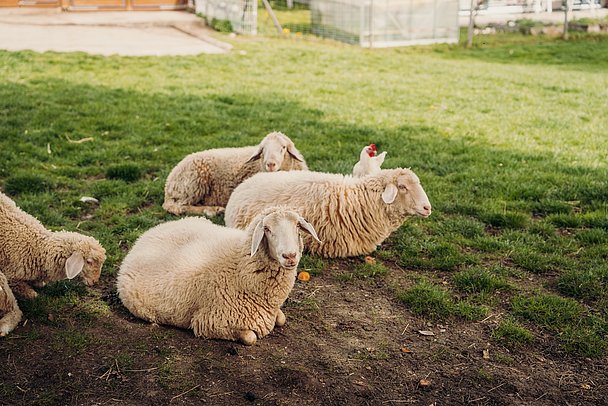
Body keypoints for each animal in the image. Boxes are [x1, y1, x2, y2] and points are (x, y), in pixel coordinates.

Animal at [0, 190, 106, 336]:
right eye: (89, 262)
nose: (95, 282)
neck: (38, 249)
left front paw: (38, 283)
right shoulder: (11, 276)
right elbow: (31, 294)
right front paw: (32, 293)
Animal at [116, 208, 320, 344]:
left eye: (297, 225)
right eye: (267, 229)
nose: (290, 255)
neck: (239, 265)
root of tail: (145, 236)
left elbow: (281, 318)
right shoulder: (211, 322)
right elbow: (250, 337)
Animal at [163, 132, 308, 217]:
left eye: (283, 147)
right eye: (263, 149)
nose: (270, 164)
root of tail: (169, 182)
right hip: (193, 184)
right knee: (177, 206)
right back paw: (212, 210)